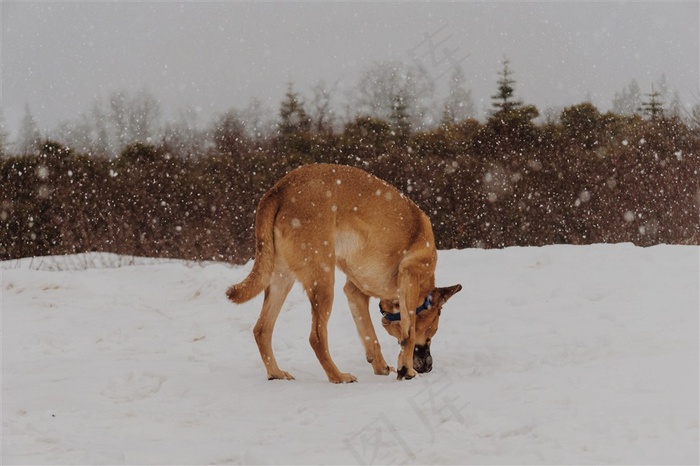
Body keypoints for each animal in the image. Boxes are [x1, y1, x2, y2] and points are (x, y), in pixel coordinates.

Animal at [227, 164, 462, 382]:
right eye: (431, 333)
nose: (428, 367)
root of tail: (280, 188)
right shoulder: (410, 276)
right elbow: (409, 334)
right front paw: (406, 370)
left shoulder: (354, 293)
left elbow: (370, 336)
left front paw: (381, 366)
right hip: (323, 279)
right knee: (316, 337)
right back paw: (337, 376)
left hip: (281, 279)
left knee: (262, 329)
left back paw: (276, 373)